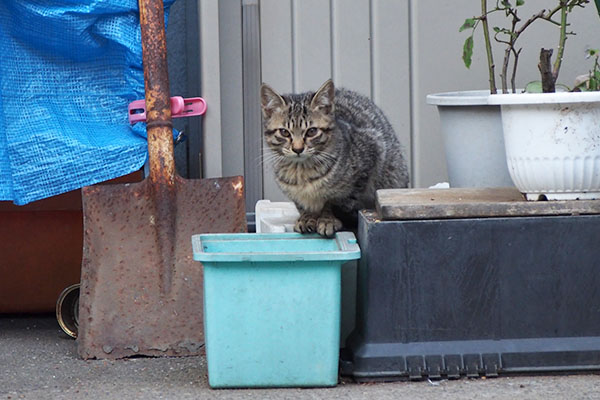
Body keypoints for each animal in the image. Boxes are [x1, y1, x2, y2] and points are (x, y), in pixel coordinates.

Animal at [260, 79, 410, 236]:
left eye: (311, 131)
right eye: (284, 132)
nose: (298, 149)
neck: (301, 171)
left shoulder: (373, 148)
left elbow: (336, 201)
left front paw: (328, 219)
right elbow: (302, 204)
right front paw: (307, 217)